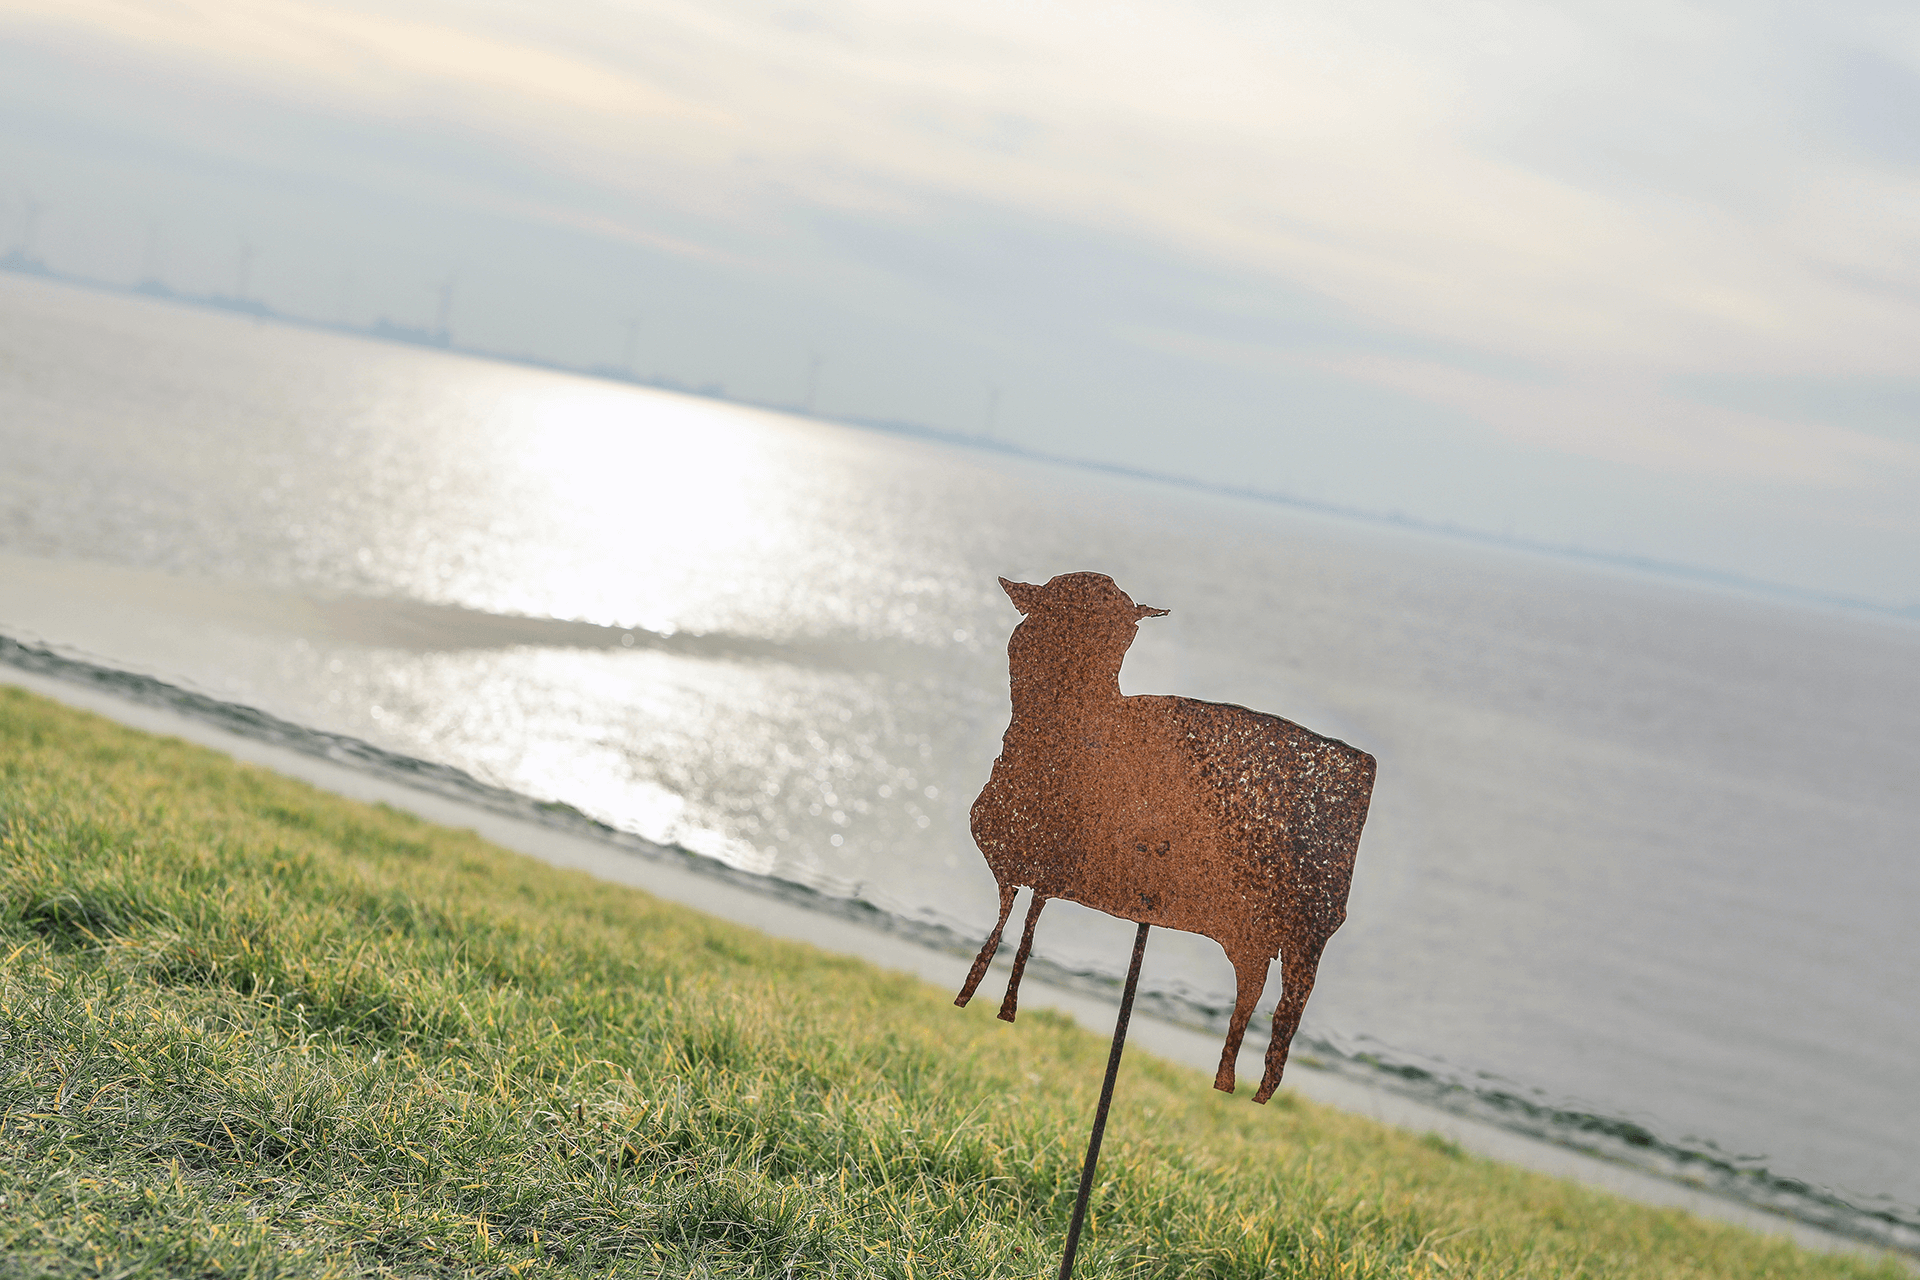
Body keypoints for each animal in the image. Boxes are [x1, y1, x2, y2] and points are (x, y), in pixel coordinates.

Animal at [955, 571, 1375, 1102]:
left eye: (1124, 633)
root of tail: (1361, 765)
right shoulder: (1031, 861)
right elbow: (1018, 920)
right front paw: (982, 995)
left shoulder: (1040, 859)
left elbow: (1020, 924)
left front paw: (996, 1000)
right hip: (1253, 934)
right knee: (1252, 989)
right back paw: (1227, 1078)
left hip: (1303, 935)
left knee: (1284, 1011)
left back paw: (1256, 1088)